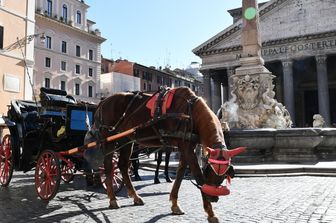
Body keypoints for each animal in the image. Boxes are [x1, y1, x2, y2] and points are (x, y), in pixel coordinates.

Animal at [86, 87, 244, 223]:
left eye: (223, 176)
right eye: (209, 172)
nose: (213, 198)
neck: (190, 113)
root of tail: (103, 101)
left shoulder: (186, 147)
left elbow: (180, 174)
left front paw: (175, 204)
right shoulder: (186, 148)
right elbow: (198, 176)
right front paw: (210, 213)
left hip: (127, 139)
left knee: (123, 165)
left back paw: (135, 196)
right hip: (109, 139)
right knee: (108, 165)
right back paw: (112, 199)